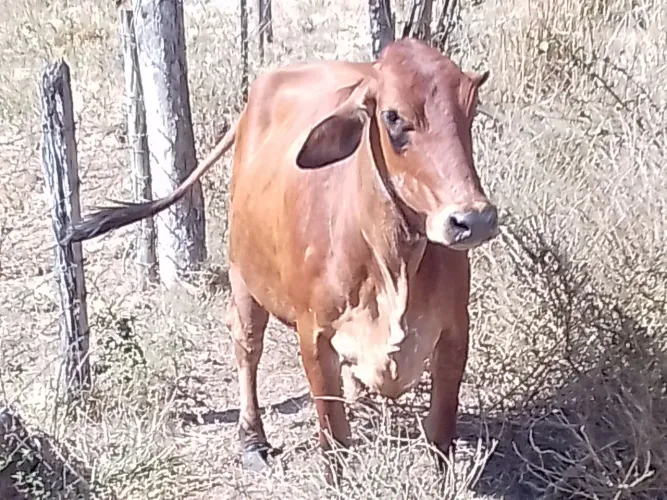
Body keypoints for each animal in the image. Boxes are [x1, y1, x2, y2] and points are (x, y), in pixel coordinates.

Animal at [64, 38, 499, 482]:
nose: (474, 219)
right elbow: (334, 440)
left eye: (470, 107)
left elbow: (440, 436)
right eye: (393, 116)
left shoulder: (454, 333)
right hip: (243, 276)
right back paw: (253, 439)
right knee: (246, 345)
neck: (394, 263)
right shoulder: (314, 337)